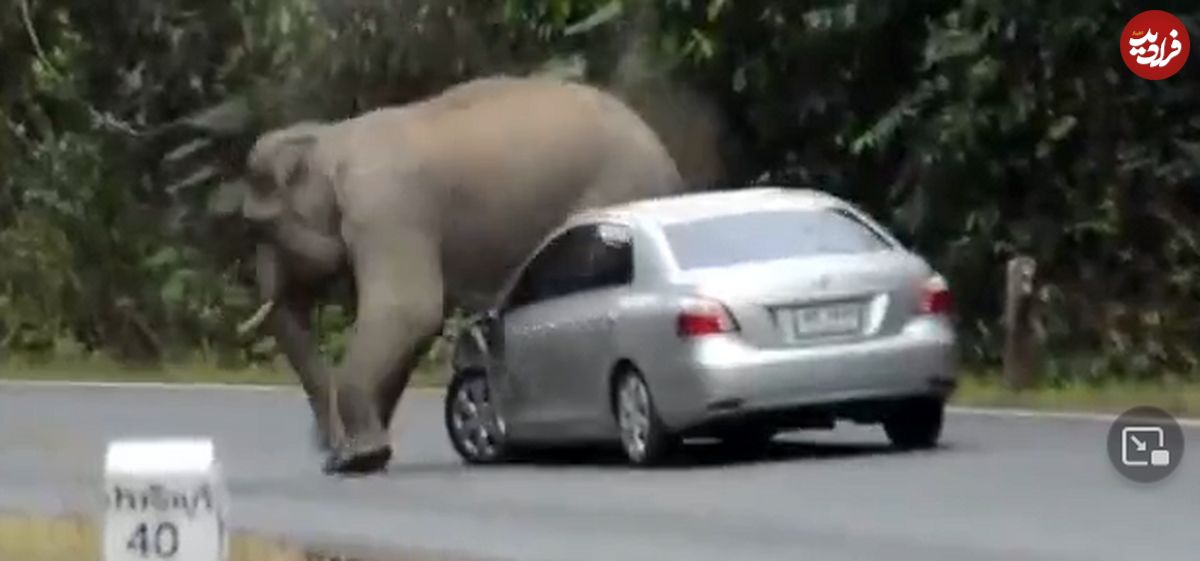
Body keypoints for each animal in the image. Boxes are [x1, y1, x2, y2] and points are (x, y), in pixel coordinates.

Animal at [236, 73, 686, 472]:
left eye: (259, 226)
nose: (326, 451)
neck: (330, 138)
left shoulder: (387, 209)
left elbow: (410, 309)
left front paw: (359, 459)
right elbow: (414, 328)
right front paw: (366, 455)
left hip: (616, 189)